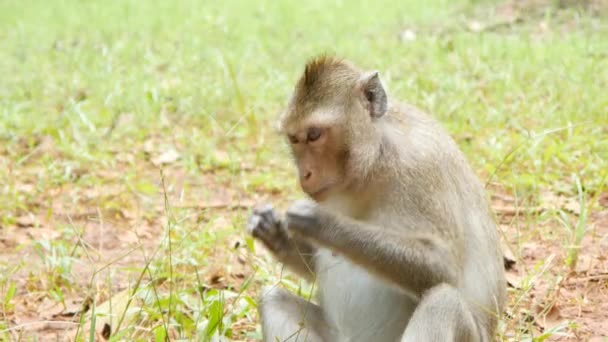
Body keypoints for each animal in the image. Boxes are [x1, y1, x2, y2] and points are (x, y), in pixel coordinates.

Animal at [245, 56, 506, 342]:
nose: (305, 174)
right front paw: (272, 230)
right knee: (271, 299)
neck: (374, 164)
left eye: (314, 135)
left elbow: (444, 265)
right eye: (294, 139)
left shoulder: (423, 165)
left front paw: (323, 223)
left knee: (444, 301)